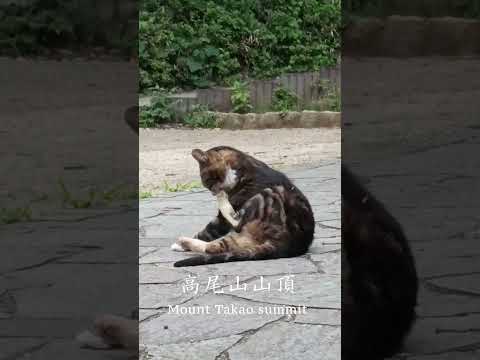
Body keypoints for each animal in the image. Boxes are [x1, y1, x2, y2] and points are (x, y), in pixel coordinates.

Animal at [172, 146, 316, 268]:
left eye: (207, 181)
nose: (213, 192)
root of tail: (287, 246)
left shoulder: (223, 218)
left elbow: (208, 231)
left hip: (268, 194)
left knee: (229, 231)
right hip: (245, 236)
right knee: (218, 247)